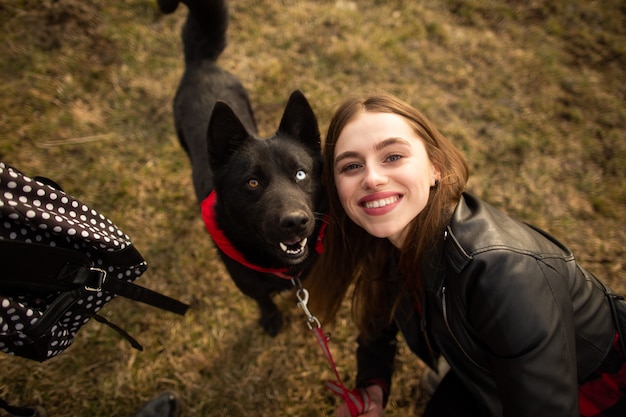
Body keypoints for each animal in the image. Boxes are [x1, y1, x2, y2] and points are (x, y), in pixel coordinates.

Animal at [156, 0, 324, 334]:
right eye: (252, 183)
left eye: (301, 174)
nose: (296, 222)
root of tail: (202, 62)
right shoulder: (249, 285)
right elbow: (264, 301)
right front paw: (272, 320)